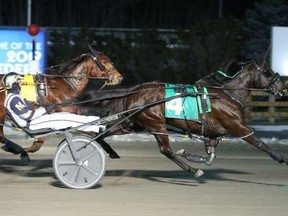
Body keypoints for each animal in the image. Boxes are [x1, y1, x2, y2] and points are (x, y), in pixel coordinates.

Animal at [79, 60, 288, 177]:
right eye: (268, 72)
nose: (283, 89)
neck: (226, 95)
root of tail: (134, 90)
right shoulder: (237, 126)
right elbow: (260, 144)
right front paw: (282, 158)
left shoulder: (212, 134)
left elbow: (209, 156)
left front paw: (188, 154)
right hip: (156, 123)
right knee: (165, 150)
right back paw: (192, 170)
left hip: (132, 124)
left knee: (101, 133)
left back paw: (103, 150)